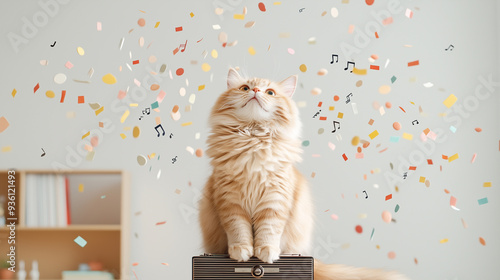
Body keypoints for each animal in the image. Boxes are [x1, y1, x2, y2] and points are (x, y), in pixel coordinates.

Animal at [197, 68, 408, 280]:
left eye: (270, 92)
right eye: (245, 88)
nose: (255, 91)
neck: (253, 141)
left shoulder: (275, 199)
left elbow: (268, 230)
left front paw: (267, 251)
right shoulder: (230, 201)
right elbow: (238, 229)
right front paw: (241, 250)